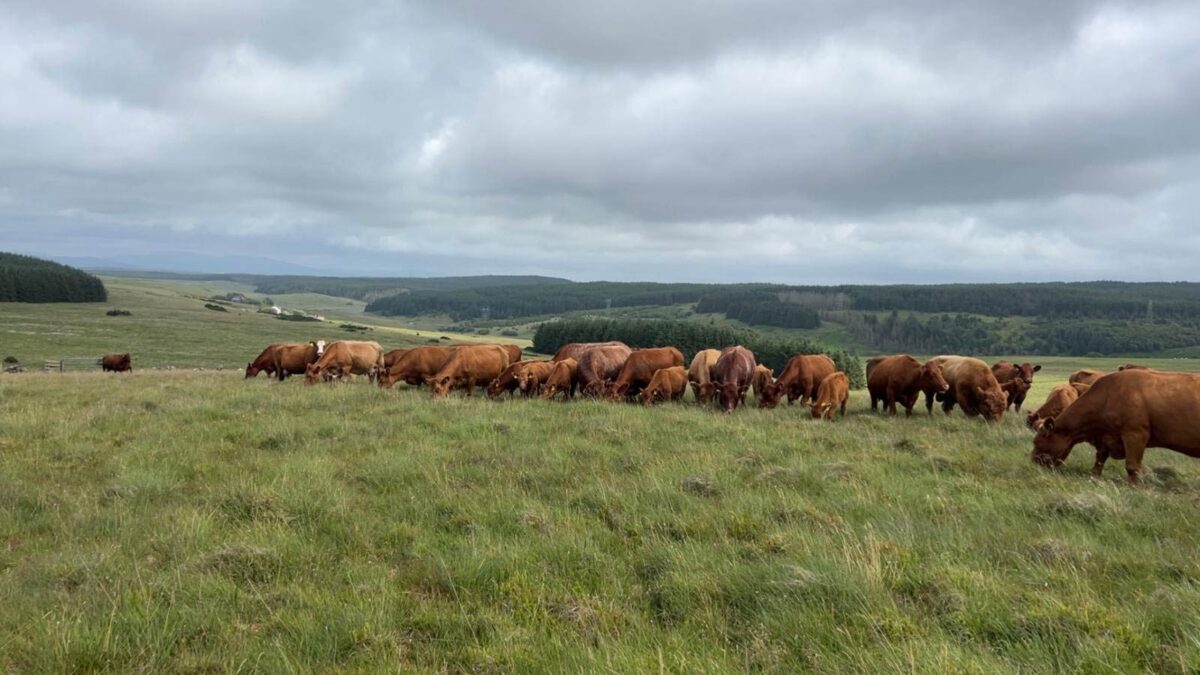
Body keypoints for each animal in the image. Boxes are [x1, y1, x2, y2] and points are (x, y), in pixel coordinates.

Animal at [1032, 369, 1200, 483]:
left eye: (1037, 441)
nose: (1033, 461)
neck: (1107, 397)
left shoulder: (1135, 435)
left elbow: (1132, 466)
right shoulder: (1107, 438)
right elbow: (1099, 461)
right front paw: (1095, 478)